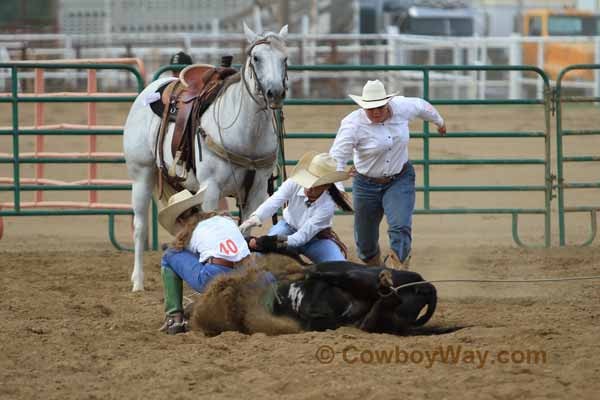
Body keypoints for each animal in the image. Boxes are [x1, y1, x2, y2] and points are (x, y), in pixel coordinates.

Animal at [122, 22, 288, 290]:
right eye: (256, 57)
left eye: (285, 58)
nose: (275, 92)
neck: (247, 134)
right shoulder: (210, 188)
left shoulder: (256, 191)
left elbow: (244, 234)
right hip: (142, 174)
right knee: (139, 226)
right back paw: (138, 281)